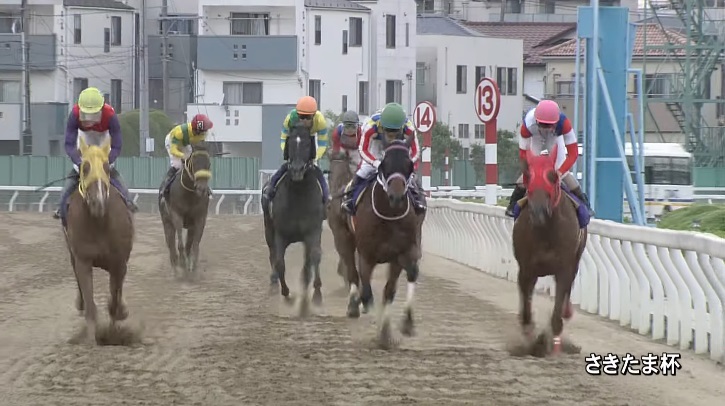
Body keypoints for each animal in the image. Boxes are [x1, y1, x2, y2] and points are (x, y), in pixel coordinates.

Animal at [63, 136, 134, 342]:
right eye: (85, 167)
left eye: (106, 167)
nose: (98, 202)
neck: (99, 222)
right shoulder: (83, 260)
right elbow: (89, 299)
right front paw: (91, 339)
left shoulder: (119, 262)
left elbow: (115, 299)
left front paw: (116, 325)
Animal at [159, 141, 212, 278]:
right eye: (194, 162)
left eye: (209, 164)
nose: (202, 189)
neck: (189, 194)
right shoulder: (176, 215)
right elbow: (180, 245)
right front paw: (182, 263)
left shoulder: (200, 218)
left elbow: (195, 245)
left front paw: (193, 265)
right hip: (167, 222)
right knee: (171, 244)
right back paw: (175, 268)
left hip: (190, 227)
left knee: (188, 244)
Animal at [262, 122, 324, 316]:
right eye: (289, 142)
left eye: (307, 143)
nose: (296, 170)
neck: (298, 194)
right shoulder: (280, 234)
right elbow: (280, 263)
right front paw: (287, 295)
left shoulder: (312, 231)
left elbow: (313, 258)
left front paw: (313, 297)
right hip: (268, 229)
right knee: (272, 254)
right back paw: (273, 283)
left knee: (310, 260)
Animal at [338, 140, 424, 348]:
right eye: (384, 165)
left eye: (409, 166)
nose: (396, 196)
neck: (389, 215)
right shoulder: (367, 255)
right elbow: (367, 292)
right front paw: (377, 325)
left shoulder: (402, 254)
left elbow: (392, 289)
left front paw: (397, 328)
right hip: (344, 238)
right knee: (352, 272)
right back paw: (353, 306)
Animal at [512, 146, 584, 356]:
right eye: (528, 175)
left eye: (552, 175)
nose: (539, 212)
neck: (546, 231)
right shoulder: (526, 269)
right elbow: (526, 311)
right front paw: (532, 340)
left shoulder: (564, 269)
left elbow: (558, 309)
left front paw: (552, 343)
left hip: (576, 260)